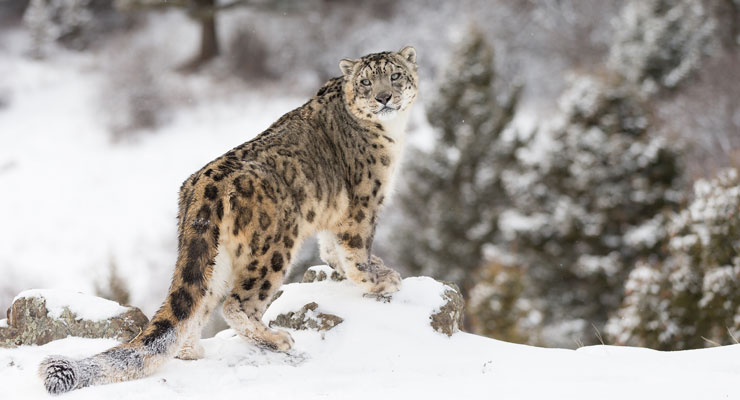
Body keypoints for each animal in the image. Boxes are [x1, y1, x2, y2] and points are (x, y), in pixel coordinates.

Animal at [40, 46, 420, 394]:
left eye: (395, 75)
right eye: (366, 82)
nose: (384, 97)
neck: (393, 133)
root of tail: (201, 186)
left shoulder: (334, 214)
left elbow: (331, 250)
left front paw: (360, 269)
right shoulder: (363, 204)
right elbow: (356, 251)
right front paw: (379, 280)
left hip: (214, 258)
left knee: (198, 304)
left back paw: (191, 351)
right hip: (274, 246)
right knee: (238, 303)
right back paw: (276, 339)